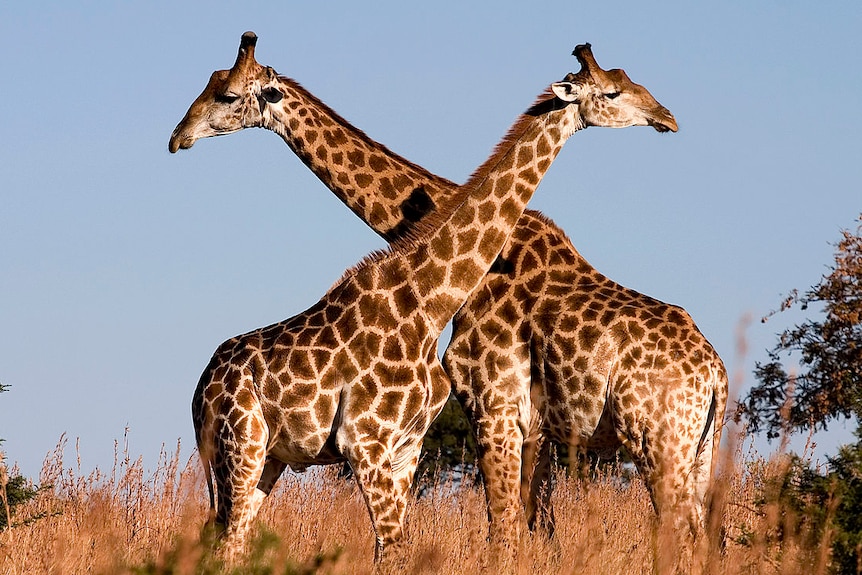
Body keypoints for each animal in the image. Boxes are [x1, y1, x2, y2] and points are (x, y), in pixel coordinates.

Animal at [170, 32, 716, 560]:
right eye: (614, 90)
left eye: (226, 94)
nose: (178, 137)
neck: (426, 293)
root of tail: (716, 373)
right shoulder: (467, 425)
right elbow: (510, 535)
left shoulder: (465, 422)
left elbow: (499, 535)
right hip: (245, 449)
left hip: (667, 443)